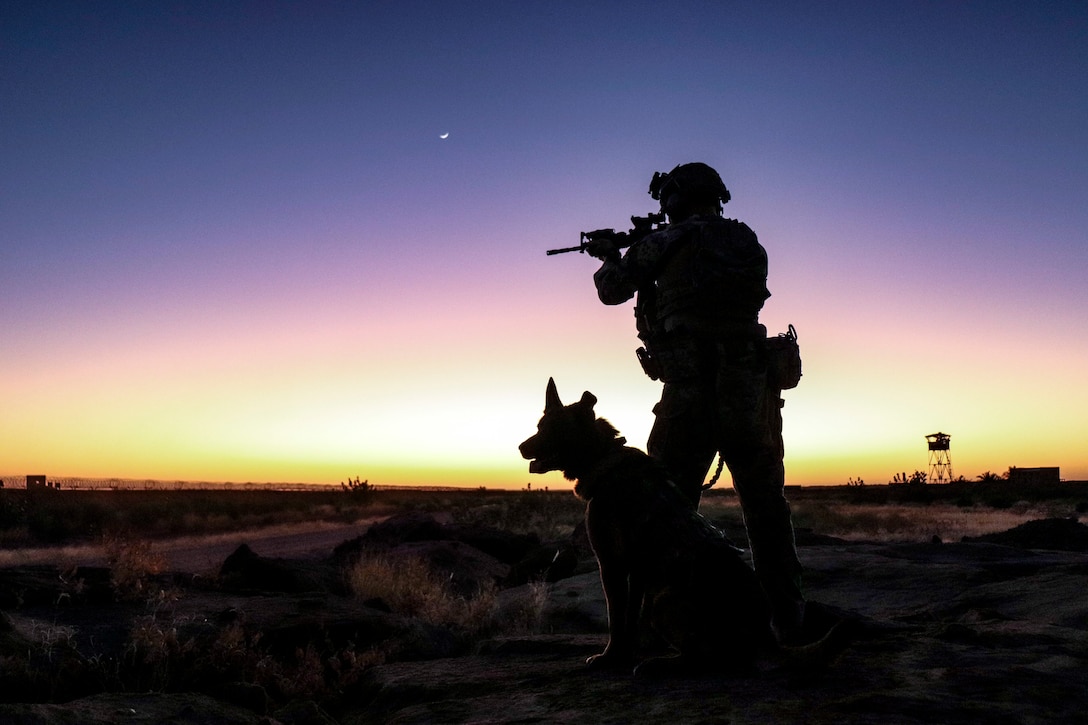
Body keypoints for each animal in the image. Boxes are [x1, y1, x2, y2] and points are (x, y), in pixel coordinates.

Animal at [520, 378, 783, 670]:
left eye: (549, 429)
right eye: (539, 427)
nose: (520, 448)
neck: (603, 457)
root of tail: (765, 635)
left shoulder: (611, 564)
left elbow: (616, 616)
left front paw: (609, 657)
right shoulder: (637, 571)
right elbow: (630, 616)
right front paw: (624, 653)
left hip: (663, 598)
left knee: (708, 658)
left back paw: (659, 664)